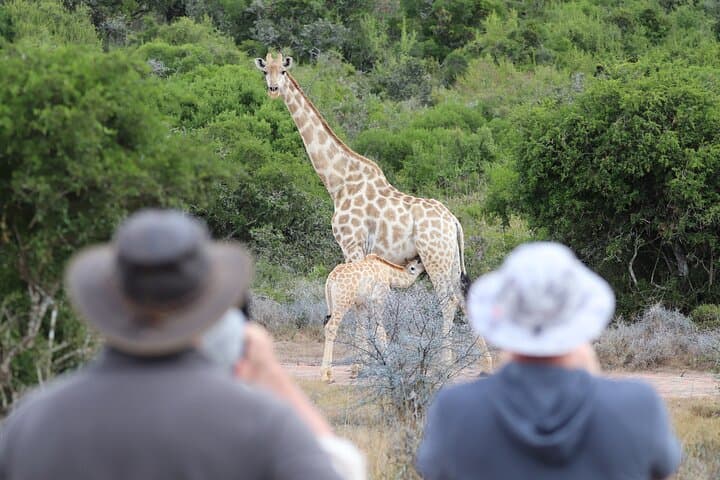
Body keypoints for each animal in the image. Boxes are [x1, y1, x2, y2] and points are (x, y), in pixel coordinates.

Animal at [254, 53, 492, 371]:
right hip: (451, 258)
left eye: (282, 70)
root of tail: (454, 221)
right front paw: (366, 360)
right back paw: (483, 361)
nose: (273, 89)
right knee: (462, 298)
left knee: (447, 300)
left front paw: (360, 364)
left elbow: (359, 302)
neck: (338, 182)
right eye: (264, 71)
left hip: (435, 258)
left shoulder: (351, 244)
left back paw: (445, 362)